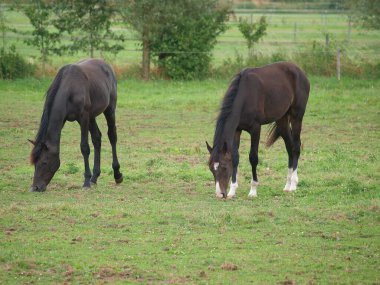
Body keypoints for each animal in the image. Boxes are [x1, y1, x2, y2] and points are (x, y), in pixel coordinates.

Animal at [29, 58, 123, 191]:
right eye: (34, 163)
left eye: (44, 162)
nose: (35, 188)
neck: (69, 88)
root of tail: (105, 65)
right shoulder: (69, 119)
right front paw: (89, 179)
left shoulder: (83, 118)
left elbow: (84, 148)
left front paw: (86, 182)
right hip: (92, 116)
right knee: (97, 138)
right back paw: (94, 178)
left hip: (109, 109)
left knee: (112, 136)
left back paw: (117, 174)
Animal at [206, 61, 310, 196]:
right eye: (211, 168)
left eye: (223, 167)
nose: (219, 194)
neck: (245, 95)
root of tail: (300, 71)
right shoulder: (237, 130)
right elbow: (235, 157)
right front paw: (232, 191)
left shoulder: (255, 128)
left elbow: (253, 157)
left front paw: (253, 190)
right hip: (282, 119)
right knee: (289, 147)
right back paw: (287, 185)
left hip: (296, 116)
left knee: (296, 147)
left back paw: (293, 184)